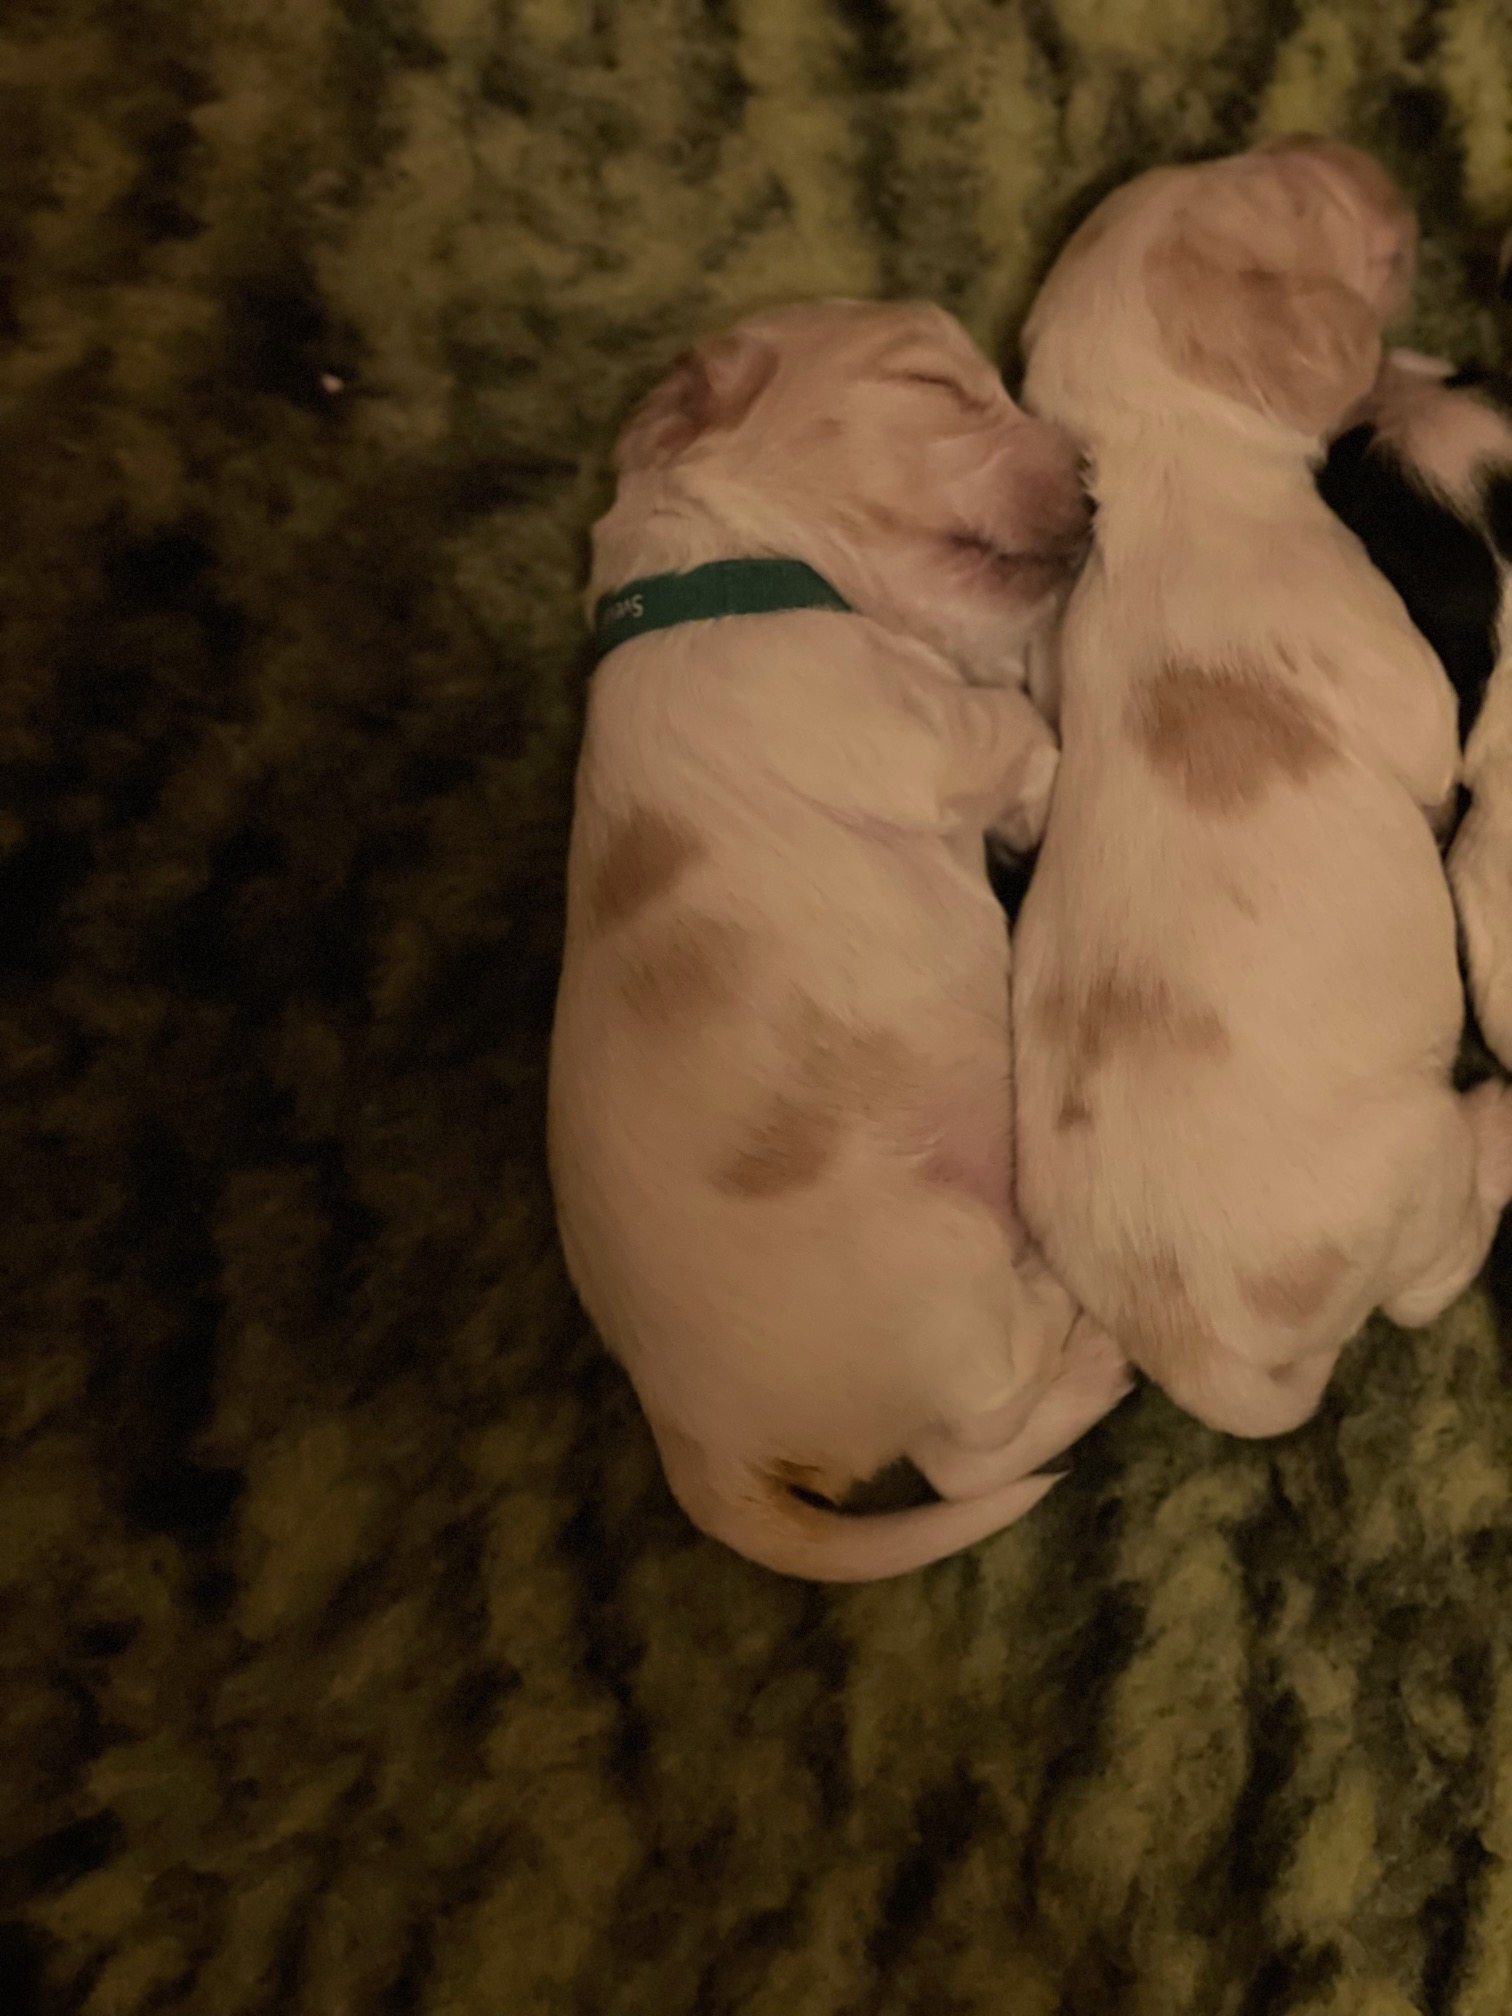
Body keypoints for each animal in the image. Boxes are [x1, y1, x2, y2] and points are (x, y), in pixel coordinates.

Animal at [548, 299, 1132, 1580]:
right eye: (934, 386)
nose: (1095, 475)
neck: (734, 575)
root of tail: (696, 1449)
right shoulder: (962, 742)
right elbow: (1027, 716)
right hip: (936, 1256)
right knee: (983, 1426)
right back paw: (1091, 1328)